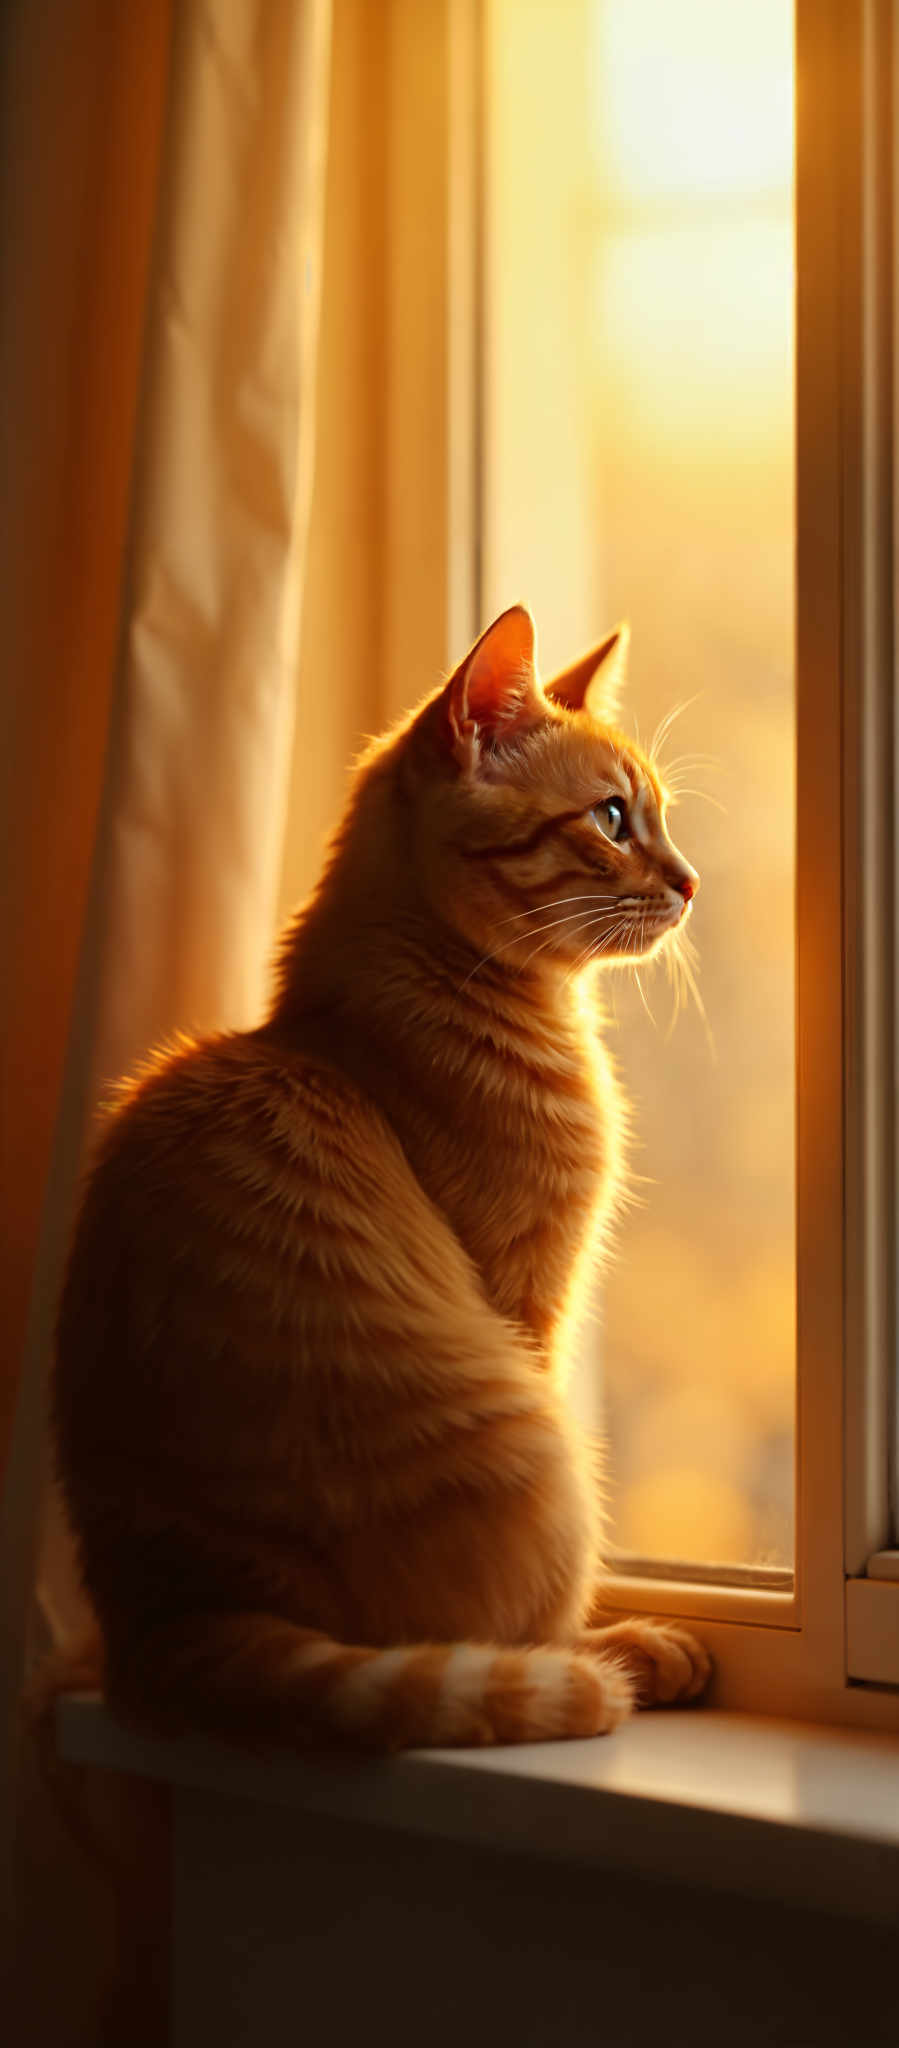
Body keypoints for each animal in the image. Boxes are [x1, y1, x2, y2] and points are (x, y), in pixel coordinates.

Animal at [50, 602, 712, 1744]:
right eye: (613, 818)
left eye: (656, 817)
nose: (688, 880)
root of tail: (174, 1613)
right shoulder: (527, 1301)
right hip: (539, 1447)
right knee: (522, 1643)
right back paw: (626, 1651)